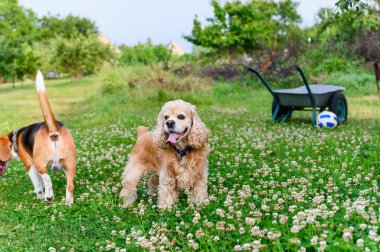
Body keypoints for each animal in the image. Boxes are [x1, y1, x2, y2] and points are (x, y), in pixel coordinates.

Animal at [0, 70, 76, 203]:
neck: (14, 139)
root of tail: (52, 129)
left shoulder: (30, 166)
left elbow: (38, 184)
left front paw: (39, 195)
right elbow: (40, 182)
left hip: (41, 164)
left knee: (47, 178)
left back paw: (48, 197)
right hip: (70, 165)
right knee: (70, 186)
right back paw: (68, 202)